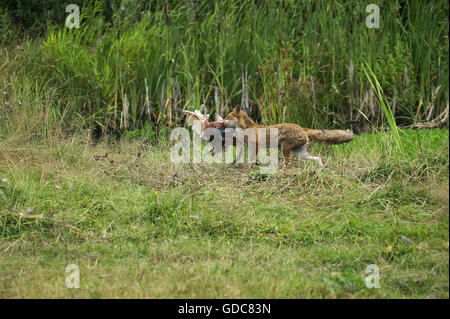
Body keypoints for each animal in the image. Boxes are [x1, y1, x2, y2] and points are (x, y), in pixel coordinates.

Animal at [222, 105, 356, 170]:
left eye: (227, 117)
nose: (221, 122)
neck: (245, 128)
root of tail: (302, 127)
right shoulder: (247, 147)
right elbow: (243, 158)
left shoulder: (256, 143)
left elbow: (251, 160)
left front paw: (250, 168)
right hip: (300, 153)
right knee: (318, 157)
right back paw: (321, 167)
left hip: (285, 148)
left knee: (287, 161)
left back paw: (278, 168)